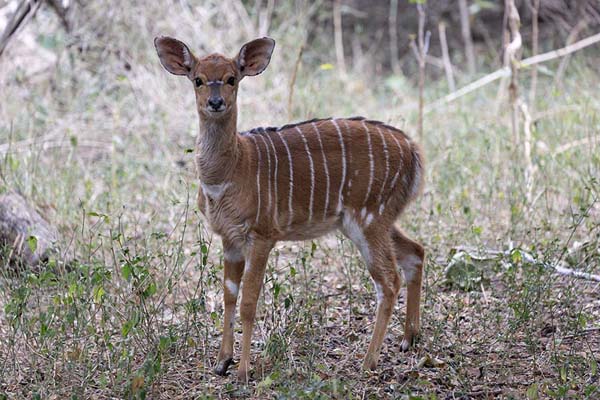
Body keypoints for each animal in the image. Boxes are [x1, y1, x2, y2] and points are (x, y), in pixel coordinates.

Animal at [156, 36, 426, 380]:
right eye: (198, 80)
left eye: (231, 78)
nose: (215, 102)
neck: (232, 170)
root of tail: (413, 150)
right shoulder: (229, 238)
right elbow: (229, 295)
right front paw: (221, 362)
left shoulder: (262, 234)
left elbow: (249, 301)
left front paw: (243, 371)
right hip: (377, 219)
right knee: (415, 251)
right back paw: (408, 339)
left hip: (368, 217)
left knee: (389, 281)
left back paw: (368, 361)